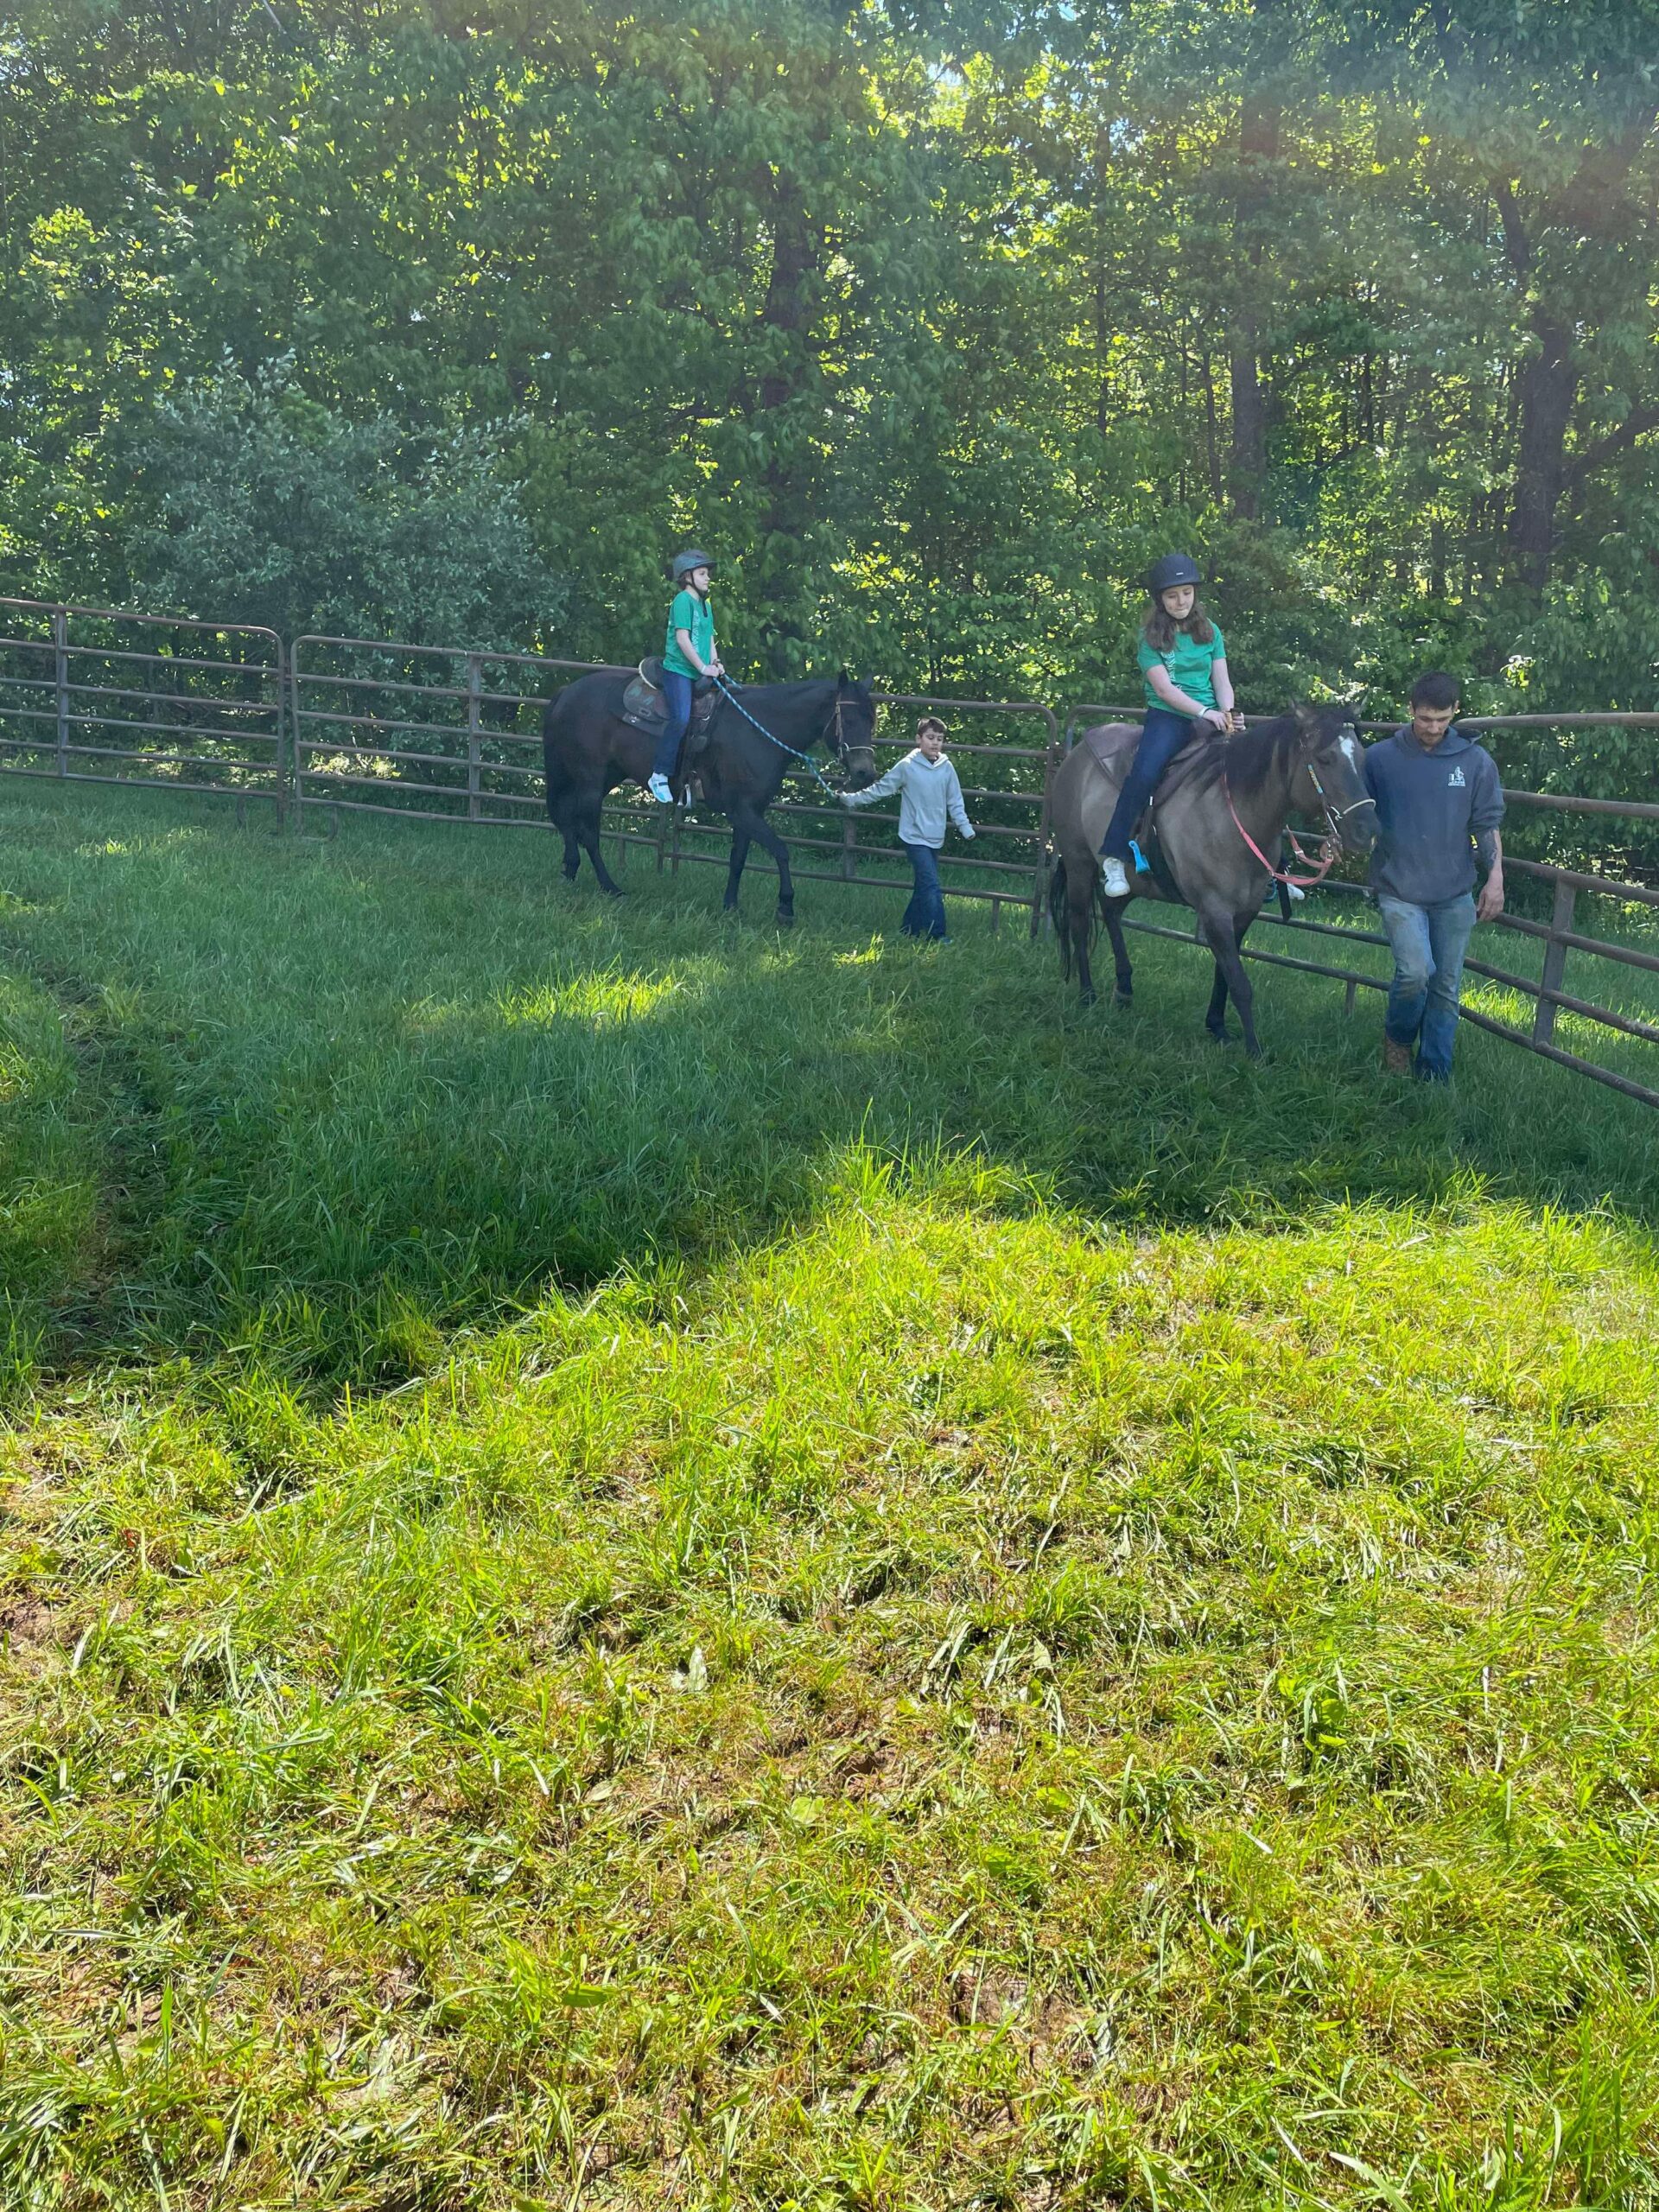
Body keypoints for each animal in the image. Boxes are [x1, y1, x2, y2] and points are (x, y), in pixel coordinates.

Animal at [542, 671, 878, 925]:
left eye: (872, 720)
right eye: (848, 720)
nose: (865, 772)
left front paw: (731, 905)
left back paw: (570, 870)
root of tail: (567, 692)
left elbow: (738, 858)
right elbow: (781, 851)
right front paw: (785, 907)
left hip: (600, 777)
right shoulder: (743, 810)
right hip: (590, 779)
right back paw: (610, 887)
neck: (760, 729)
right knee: (587, 832)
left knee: (568, 821)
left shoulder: (749, 812)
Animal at [1046, 704, 1377, 1054]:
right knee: (1079, 923)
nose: (1367, 831)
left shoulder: (1244, 913)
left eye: (1361, 757)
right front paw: (1254, 1051)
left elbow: (1225, 975)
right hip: (1079, 863)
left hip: (1136, 880)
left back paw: (1123, 988)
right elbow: (1240, 982)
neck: (1232, 818)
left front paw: (1217, 1027)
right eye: (1325, 759)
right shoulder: (1214, 910)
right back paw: (1087, 994)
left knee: (1111, 911)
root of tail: (1076, 753)